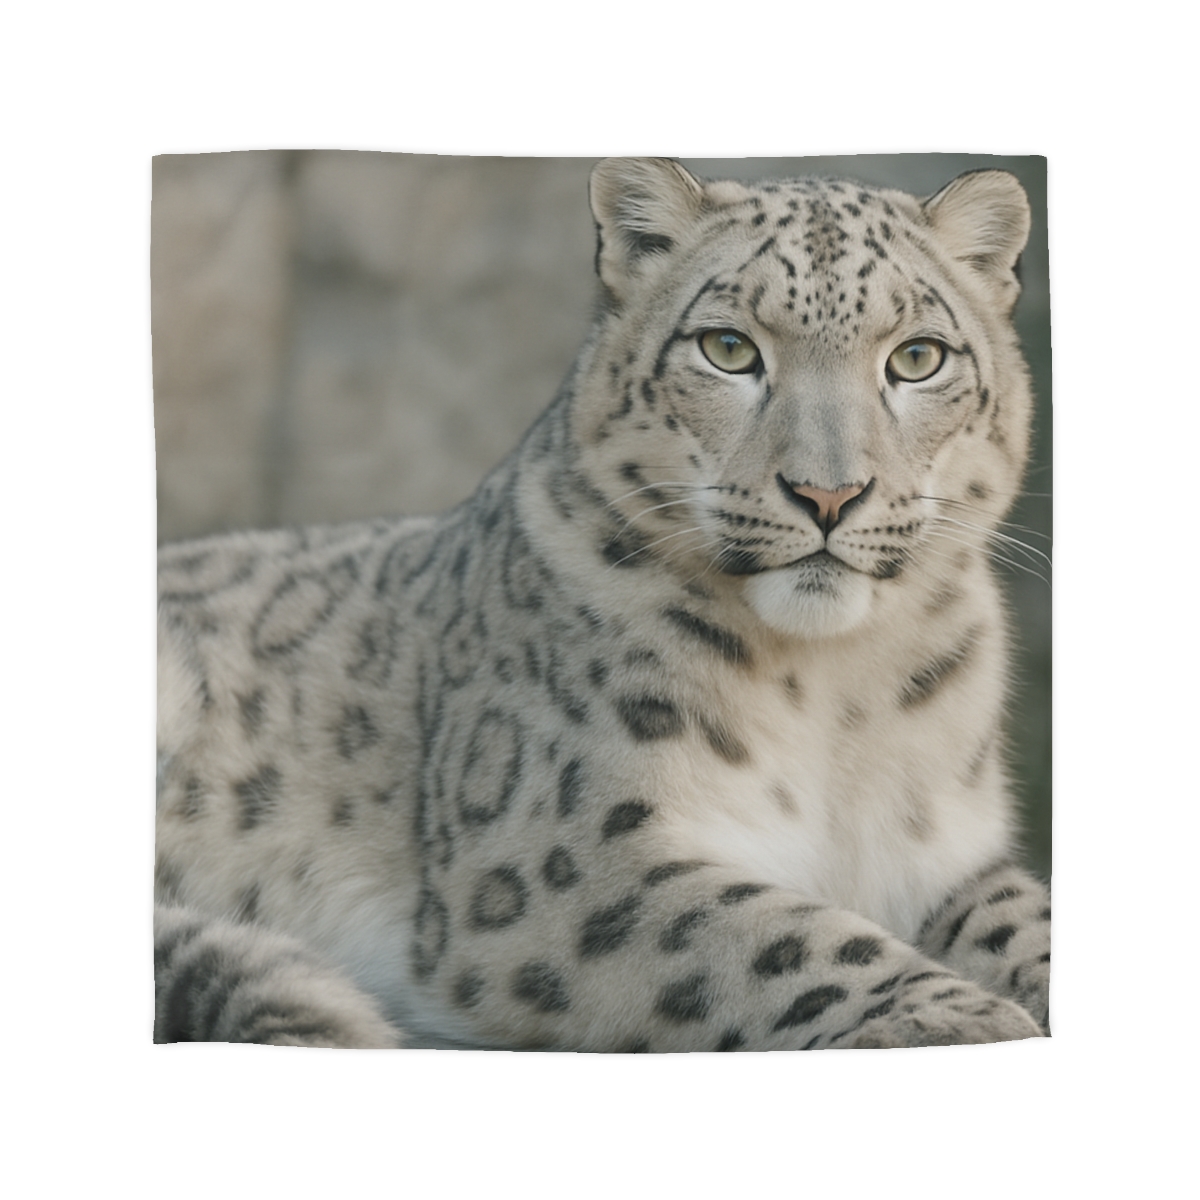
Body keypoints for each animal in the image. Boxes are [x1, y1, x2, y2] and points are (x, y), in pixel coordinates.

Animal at [155, 157, 1050, 1050]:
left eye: (918, 357)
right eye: (729, 348)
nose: (828, 495)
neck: (836, 690)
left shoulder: (946, 854)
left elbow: (1027, 922)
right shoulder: (569, 849)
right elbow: (780, 936)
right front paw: (962, 1019)